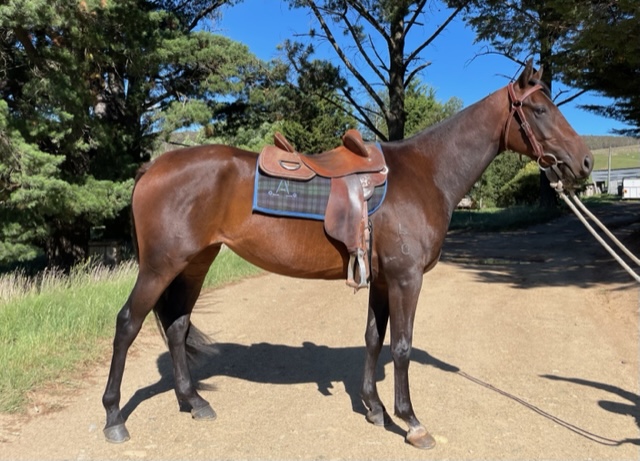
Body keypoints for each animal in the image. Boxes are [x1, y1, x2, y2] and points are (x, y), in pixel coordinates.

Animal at [102, 60, 593, 449]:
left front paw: (375, 409)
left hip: (194, 264)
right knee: (127, 324)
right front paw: (411, 422)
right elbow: (401, 346)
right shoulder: (406, 278)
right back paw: (113, 418)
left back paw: (194, 401)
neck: (426, 174)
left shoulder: (383, 279)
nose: (585, 162)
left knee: (177, 327)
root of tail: (154, 166)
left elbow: (374, 338)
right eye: (540, 109)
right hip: (161, 266)